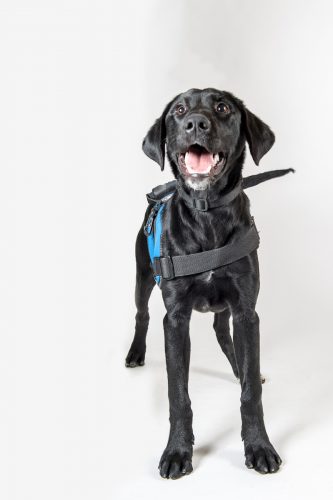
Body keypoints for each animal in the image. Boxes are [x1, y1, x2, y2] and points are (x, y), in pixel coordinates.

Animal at [126, 90, 284, 480]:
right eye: (179, 110)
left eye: (223, 107)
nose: (195, 123)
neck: (207, 211)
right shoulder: (175, 320)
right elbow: (178, 394)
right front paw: (177, 452)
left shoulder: (246, 310)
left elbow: (250, 394)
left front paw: (259, 446)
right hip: (141, 276)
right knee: (141, 314)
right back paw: (136, 352)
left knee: (225, 335)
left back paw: (241, 369)